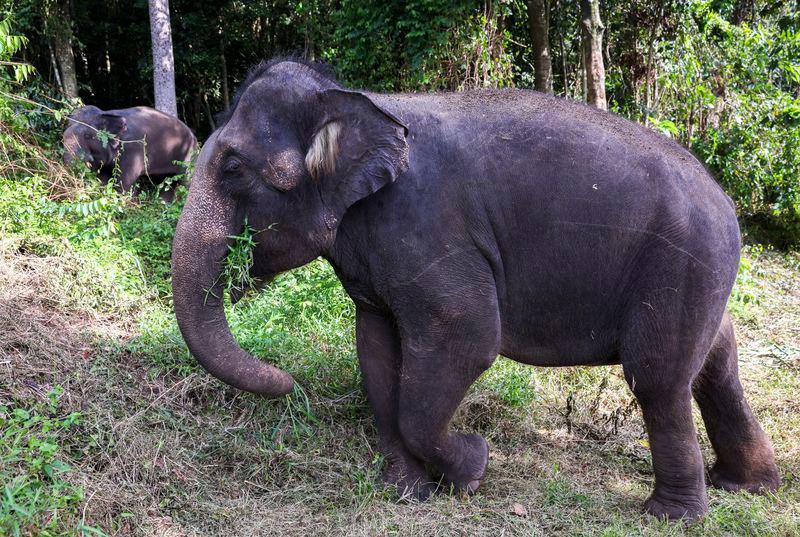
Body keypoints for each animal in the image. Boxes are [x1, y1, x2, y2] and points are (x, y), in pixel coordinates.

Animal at [63, 105, 197, 201]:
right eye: (63, 137)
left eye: (87, 136)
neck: (106, 113)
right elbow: (103, 178)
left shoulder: (133, 150)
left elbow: (125, 180)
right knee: (165, 180)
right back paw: (163, 203)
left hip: (189, 155)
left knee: (185, 179)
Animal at [170, 59, 780, 520]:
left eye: (232, 168)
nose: (287, 383)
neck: (361, 101)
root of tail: (726, 202)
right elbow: (376, 350)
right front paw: (406, 491)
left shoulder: (428, 227)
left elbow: (465, 336)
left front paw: (474, 468)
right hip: (700, 274)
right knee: (716, 361)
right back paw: (748, 485)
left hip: (680, 262)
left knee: (658, 376)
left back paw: (669, 514)